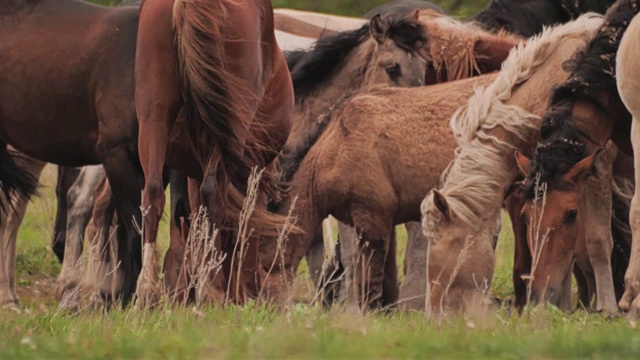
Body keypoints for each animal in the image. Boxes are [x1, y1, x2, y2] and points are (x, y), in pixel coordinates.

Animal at [135, 0, 296, 306]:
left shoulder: (193, 172)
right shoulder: (254, 174)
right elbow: (247, 223)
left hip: (153, 118)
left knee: (152, 193)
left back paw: (148, 291)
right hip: (230, 129)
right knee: (214, 196)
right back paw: (211, 288)